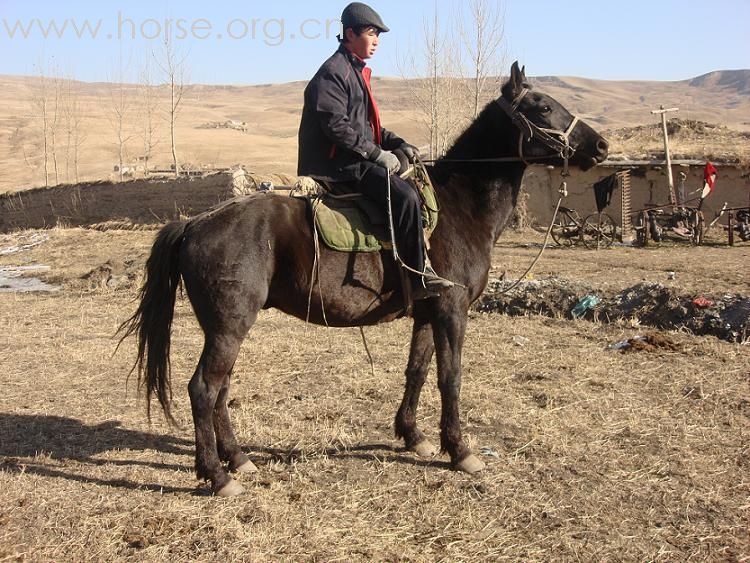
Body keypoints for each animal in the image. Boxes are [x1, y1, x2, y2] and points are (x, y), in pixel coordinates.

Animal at [119, 60, 612, 498]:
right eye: (543, 107)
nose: (602, 146)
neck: (460, 205)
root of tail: (195, 223)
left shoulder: (427, 313)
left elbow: (417, 371)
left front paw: (413, 436)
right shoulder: (452, 310)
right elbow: (449, 377)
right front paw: (459, 450)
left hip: (227, 329)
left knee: (220, 391)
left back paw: (238, 459)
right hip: (228, 327)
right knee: (204, 390)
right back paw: (218, 476)